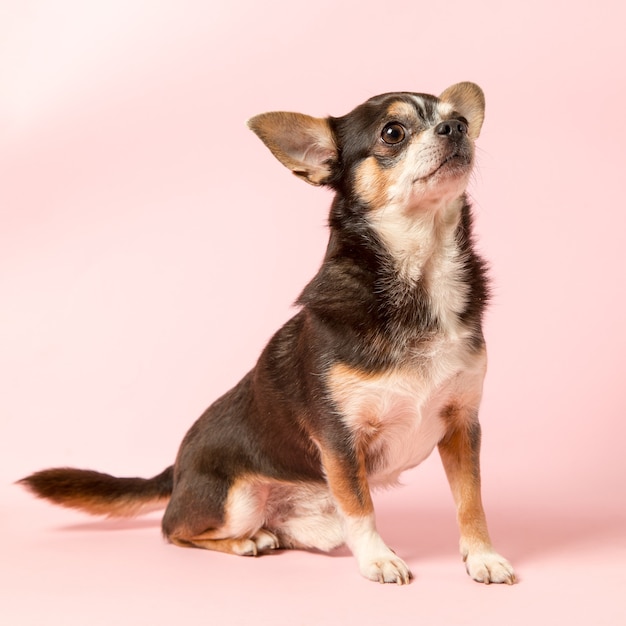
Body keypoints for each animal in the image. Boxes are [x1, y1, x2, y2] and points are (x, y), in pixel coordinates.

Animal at [22, 80, 516, 584]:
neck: (421, 274)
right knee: (173, 529)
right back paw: (246, 542)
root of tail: (176, 469)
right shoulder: (340, 441)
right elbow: (361, 507)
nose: (456, 129)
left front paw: (483, 556)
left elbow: (470, 501)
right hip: (234, 500)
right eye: (393, 132)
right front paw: (378, 558)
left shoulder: (462, 428)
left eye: (458, 118)